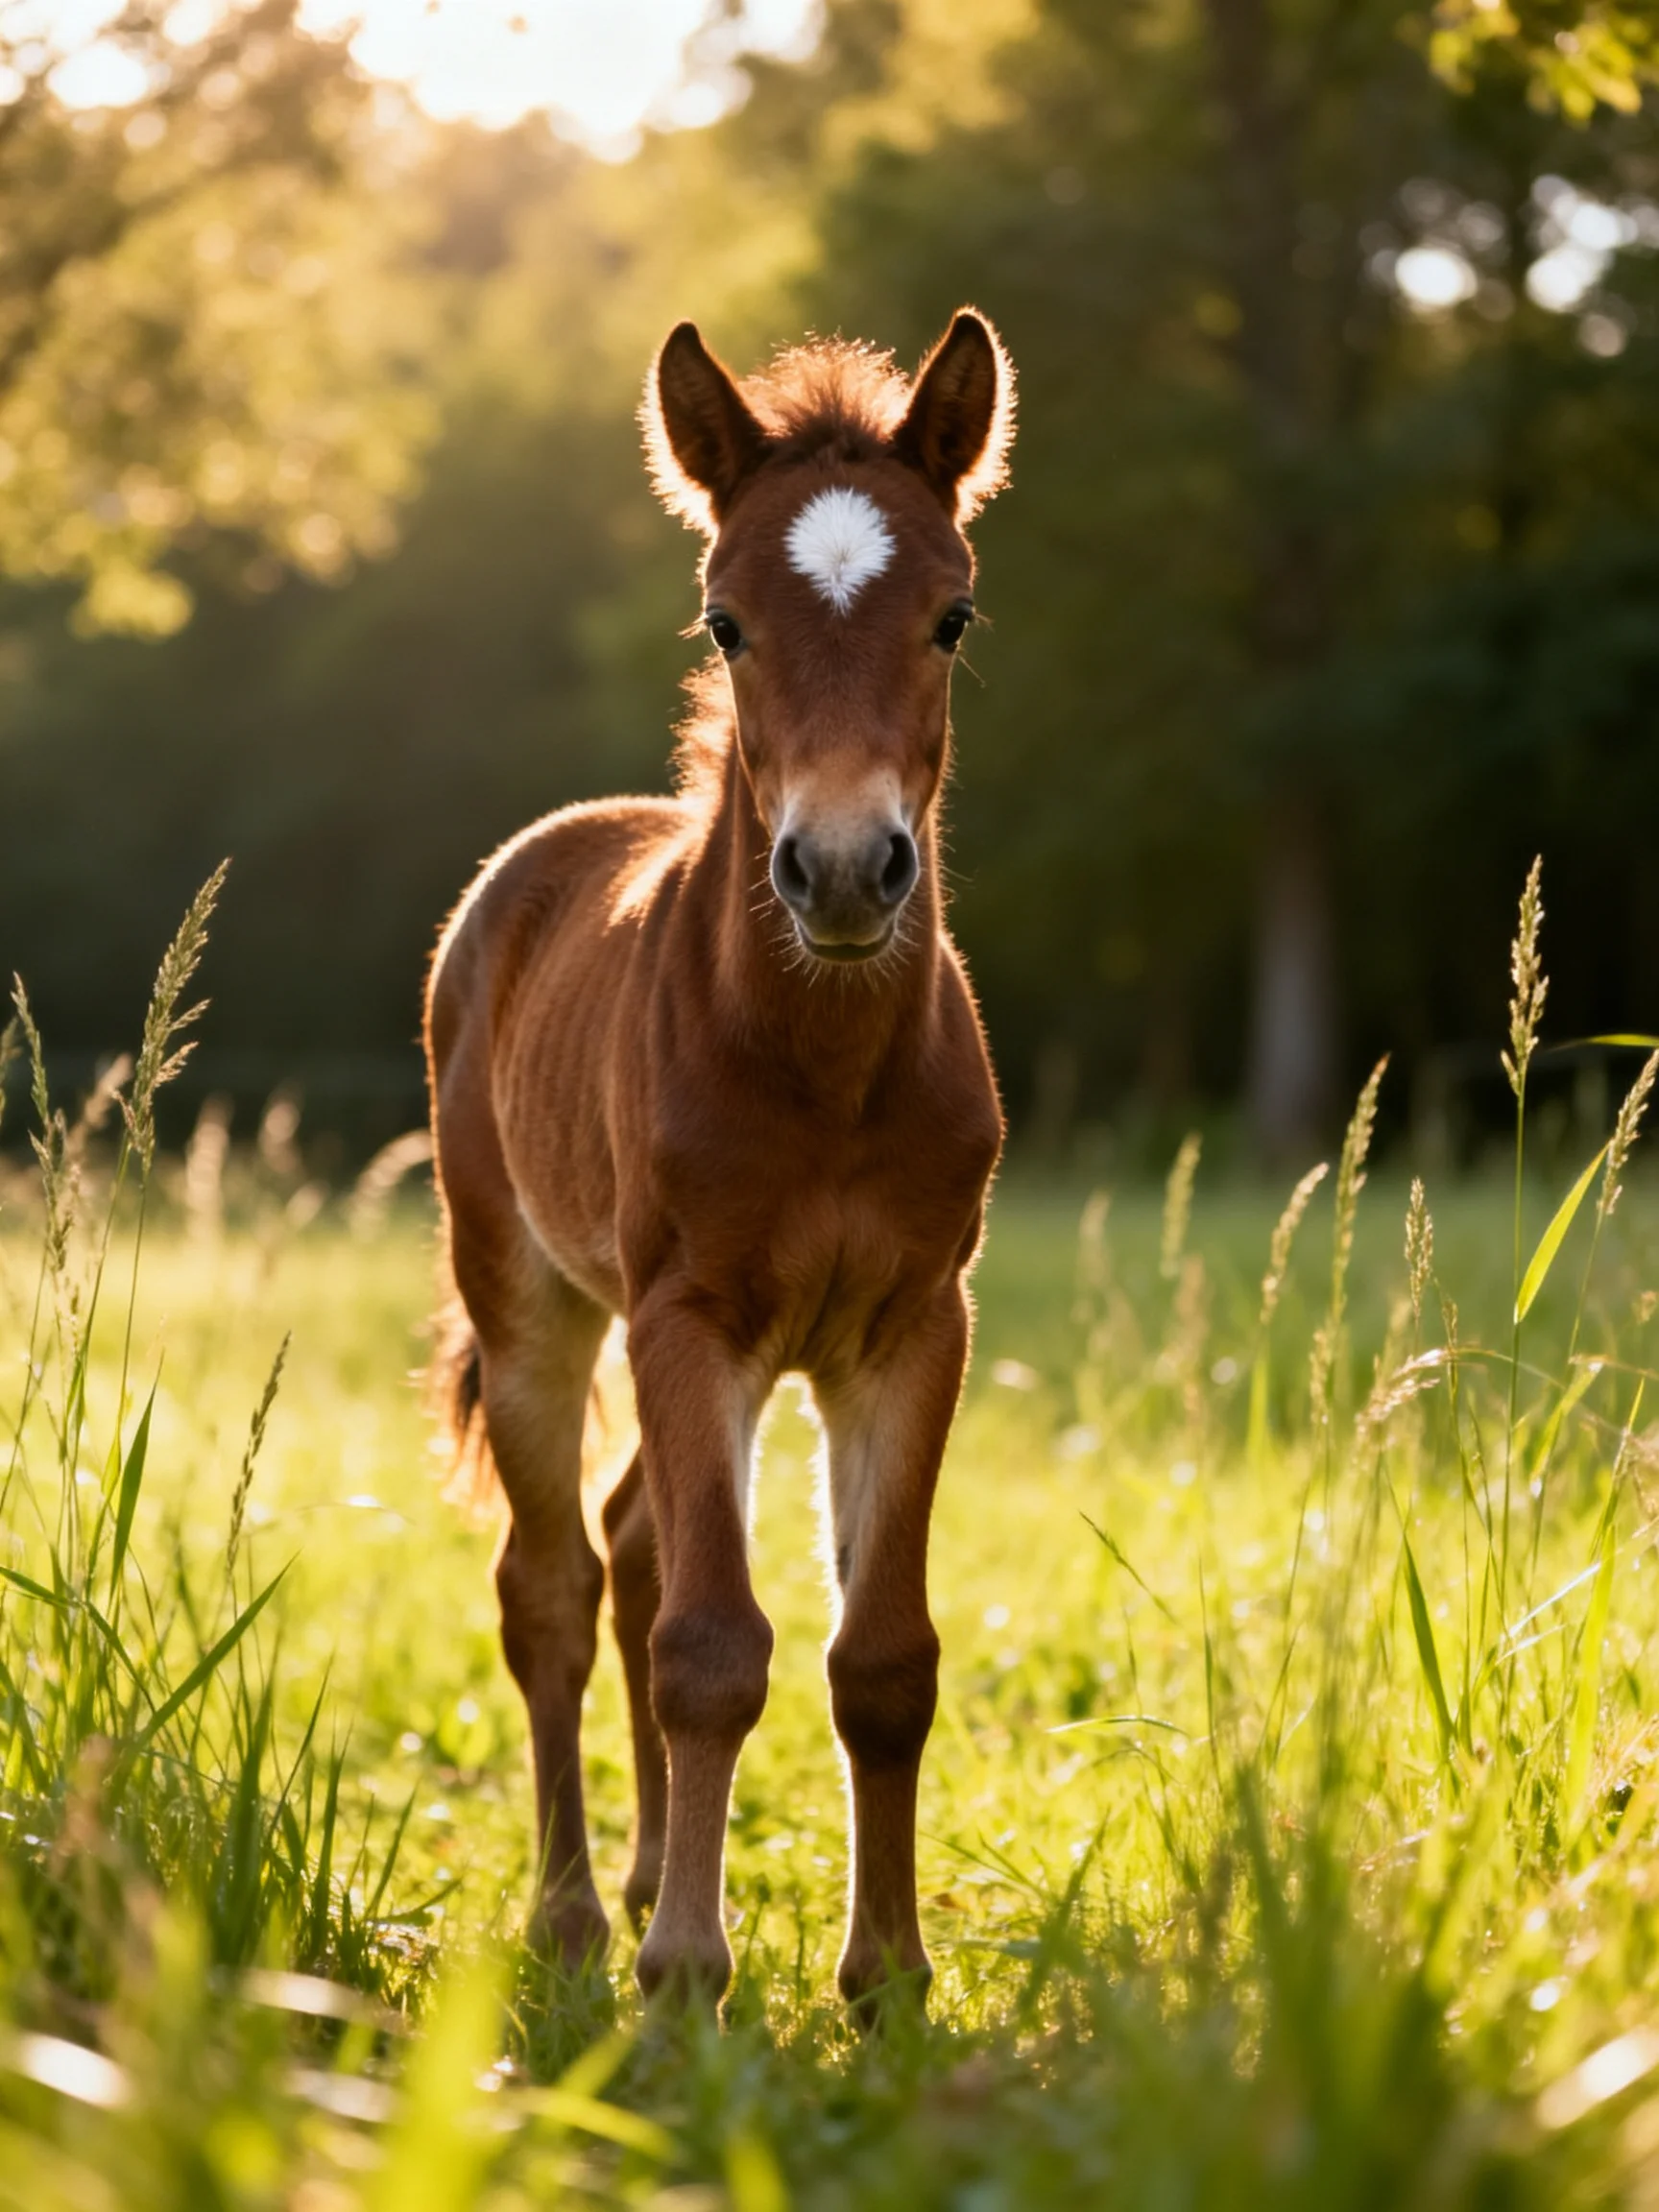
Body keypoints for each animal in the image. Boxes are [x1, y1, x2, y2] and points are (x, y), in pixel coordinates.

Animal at [424, 306, 1015, 2009]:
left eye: (952, 617)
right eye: (727, 620)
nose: (844, 870)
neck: (823, 1076)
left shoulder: (911, 1330)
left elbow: (880, 1658)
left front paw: (887, 1977)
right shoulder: (692, 1318)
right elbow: (710, 1647)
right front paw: (688, 1972)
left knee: (628, 1541)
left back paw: (627, 1884)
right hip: (535, 1298)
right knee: (555, 1587)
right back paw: (572, 1917)